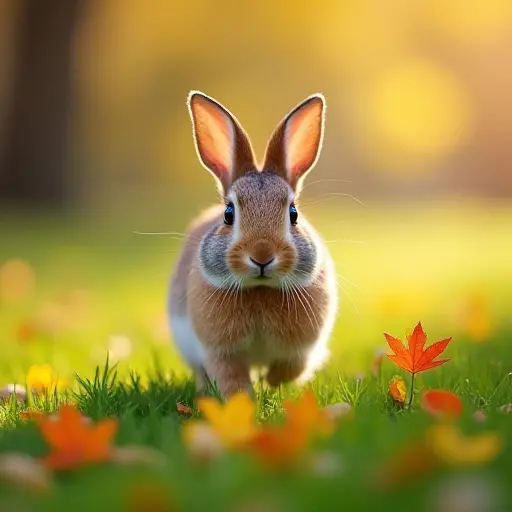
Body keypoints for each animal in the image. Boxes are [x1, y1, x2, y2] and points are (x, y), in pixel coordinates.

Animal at [167, 90, 336, 398]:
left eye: (293, 213)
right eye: (228, 214)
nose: (261, 255)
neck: (260, 289)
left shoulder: (301, 350)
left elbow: (290, 369)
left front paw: (271, 384)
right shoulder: (219, 352)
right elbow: (231, 379)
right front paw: (245, 399)